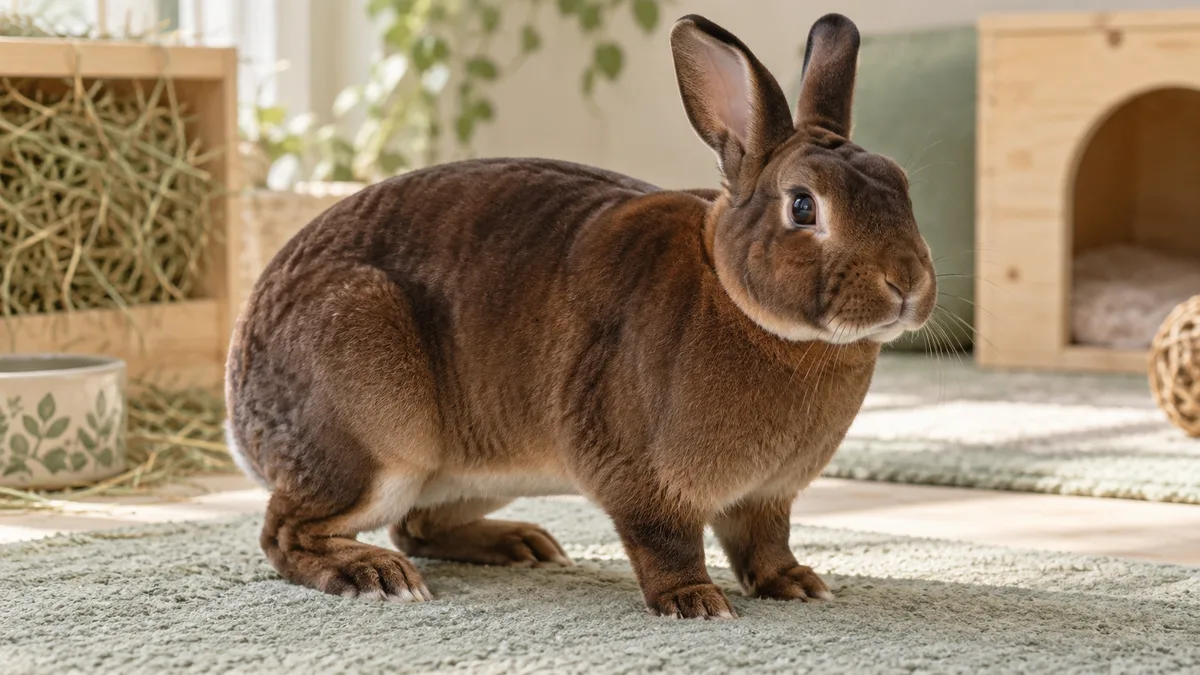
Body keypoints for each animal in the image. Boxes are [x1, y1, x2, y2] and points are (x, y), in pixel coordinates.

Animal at [224, 12, 936, 619]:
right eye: (803, 207)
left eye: (903, 184)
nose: (908, 284)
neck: (737, 298)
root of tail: (241, 405)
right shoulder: (642, 476)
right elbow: (665, 543)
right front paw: (696, 603)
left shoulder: (767, 499)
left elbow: (767, 543)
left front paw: (798, 584)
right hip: (376, 430)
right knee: (287, 531)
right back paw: (375, 576)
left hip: (471, 471)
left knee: (417, 524)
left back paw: (522, 545)